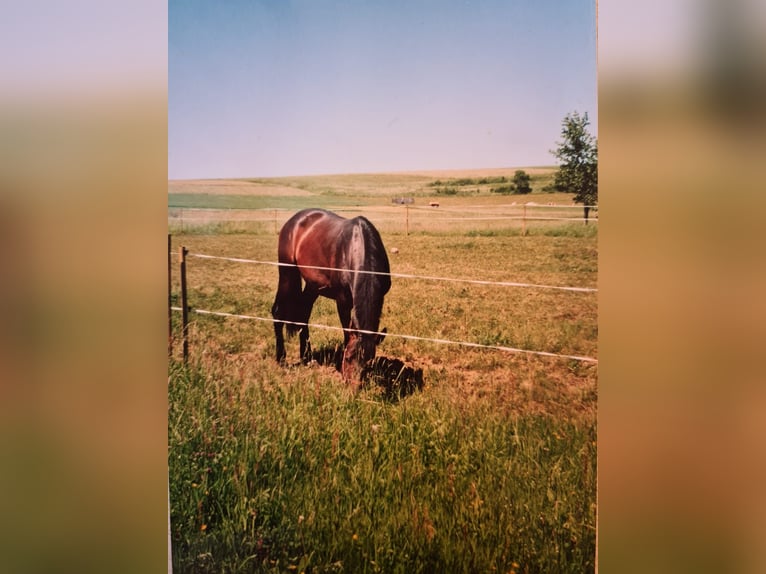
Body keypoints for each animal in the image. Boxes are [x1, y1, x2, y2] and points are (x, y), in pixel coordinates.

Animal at [272, 208, 392, 388]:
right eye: (348, 358)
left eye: (368, 361)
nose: (353, 388)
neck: (358, 248)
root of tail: (294, 220)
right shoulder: (342, 302)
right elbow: (346, 333)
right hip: (287, 274)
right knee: (278, 312)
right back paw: (281, 358)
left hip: (313, 285)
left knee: (303, 314)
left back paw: (307, 357)